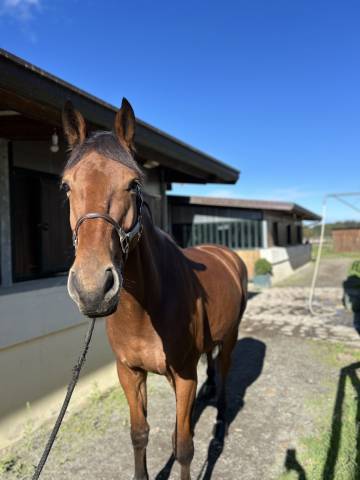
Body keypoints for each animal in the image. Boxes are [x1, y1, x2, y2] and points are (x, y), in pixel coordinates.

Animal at [61, 98, 248, 480]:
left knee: (224, 371)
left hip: (232, 334)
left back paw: (220, 418)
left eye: (133, 184)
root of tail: (225, 254)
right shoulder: (130, 373)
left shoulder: (184, 376)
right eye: (67, 186)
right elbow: (139, 434)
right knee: (212, 362)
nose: (92, 289)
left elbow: (184, 446)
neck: (147, 308)